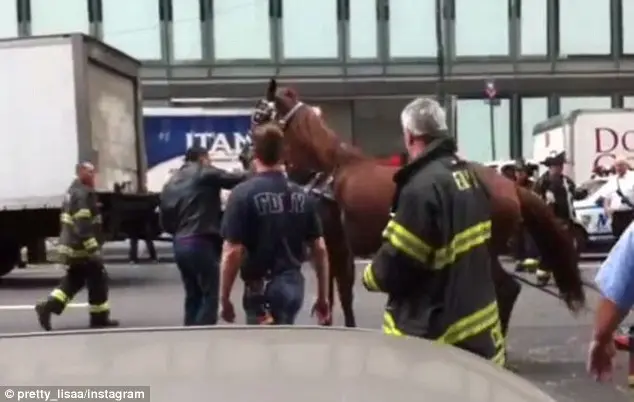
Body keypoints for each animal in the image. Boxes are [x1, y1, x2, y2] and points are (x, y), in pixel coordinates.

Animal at [248, 78, 584, 336]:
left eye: (258, 115)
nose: (247, 153)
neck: (331, 170)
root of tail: (510, 186)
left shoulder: (338, 242)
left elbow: (343, 290)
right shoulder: (329, 243)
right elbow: (330, 290)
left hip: (484, 249)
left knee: (506, 290)